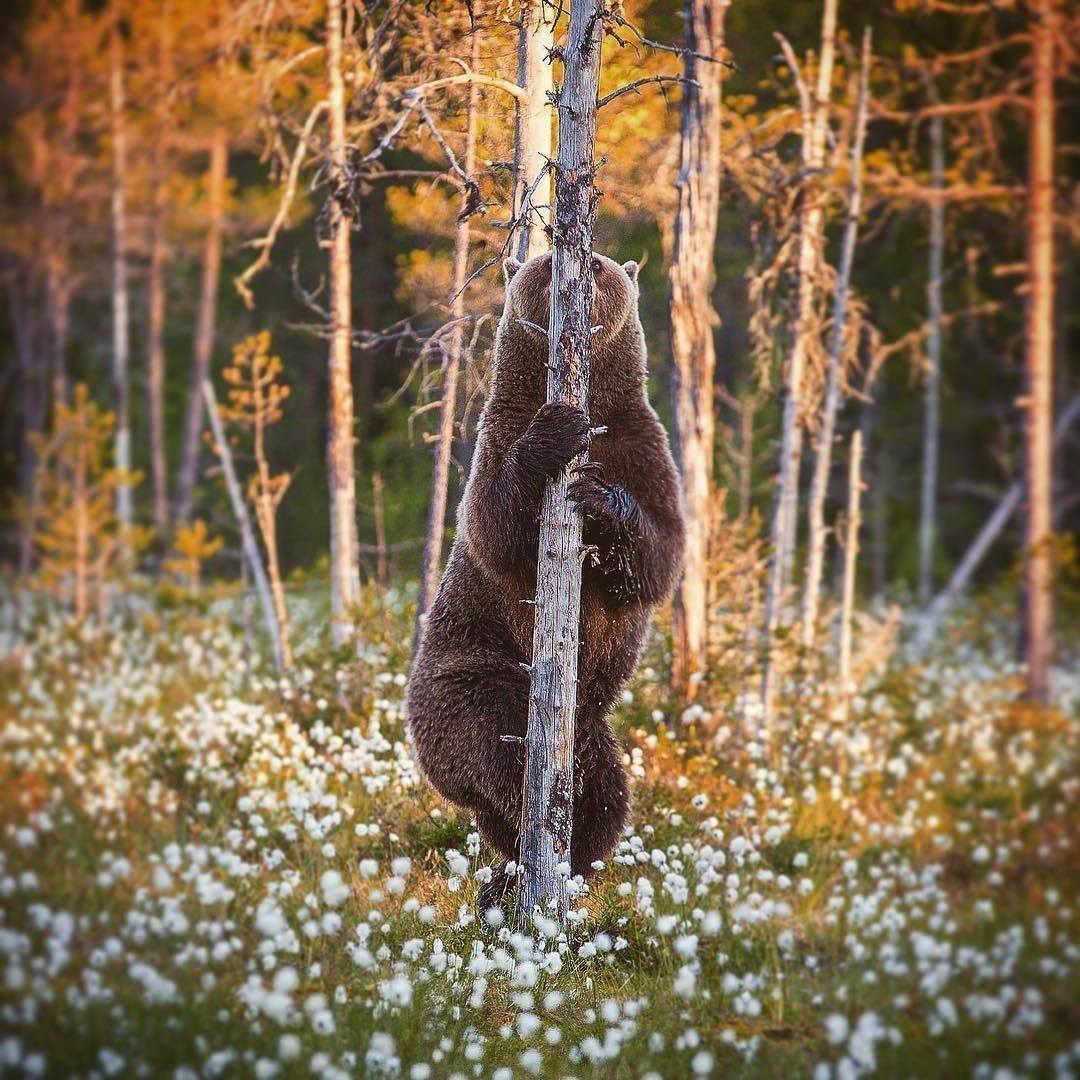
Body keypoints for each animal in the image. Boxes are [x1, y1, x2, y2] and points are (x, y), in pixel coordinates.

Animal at [406, 252, 682, 902]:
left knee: (607, 790)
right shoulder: (497, 434)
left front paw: (603, 501)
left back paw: (568, 863)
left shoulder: (641, 444)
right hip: (468, 681)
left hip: (588, 721)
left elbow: (660, 553)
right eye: (544, 261)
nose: (580, 266)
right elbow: (494, 527)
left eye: (601, 264)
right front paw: (555, 434)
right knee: (499, 748)